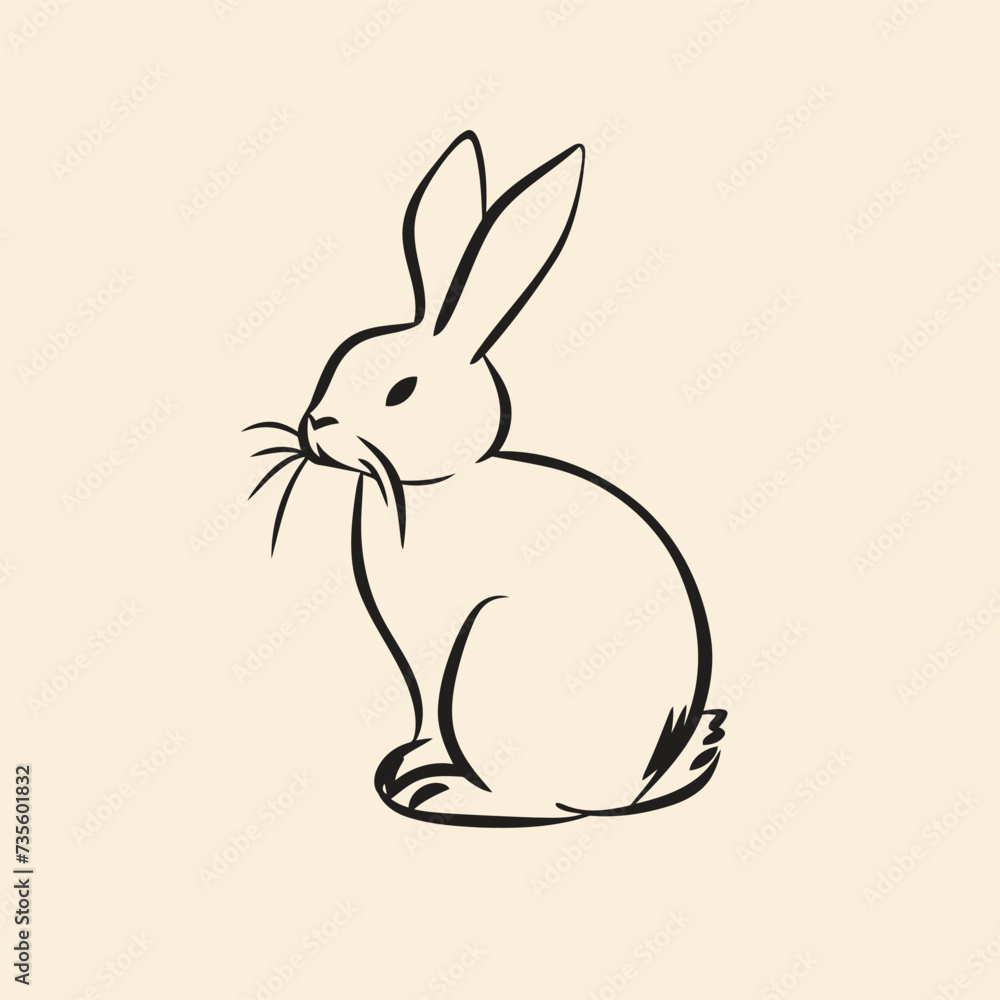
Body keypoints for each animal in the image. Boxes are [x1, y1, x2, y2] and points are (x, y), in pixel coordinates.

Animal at [246, 131, 724, 827]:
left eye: (401, 390)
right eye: (340, 359)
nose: (316, 426)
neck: (436, 486)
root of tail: (628, 790)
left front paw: (416, 773)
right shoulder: (417, 665)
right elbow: (423, 714)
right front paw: (409, 758)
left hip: (489, 654)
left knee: (539, 801)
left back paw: (446, 793)